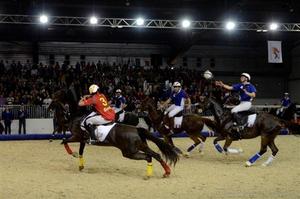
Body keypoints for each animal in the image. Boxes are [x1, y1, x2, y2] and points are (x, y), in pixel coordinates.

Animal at [50, 89, 179, 178]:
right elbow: (80, 151)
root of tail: (136, 129)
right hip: (141, 146)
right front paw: (81, 165)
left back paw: (149, 174)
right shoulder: (82, 140)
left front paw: (73, 153)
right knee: (156, 155)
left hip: (129, 152)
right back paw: (166, 172)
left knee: (149, 157)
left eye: (56, 94)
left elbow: (64, 141)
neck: (76, 116)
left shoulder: (77, 136)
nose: (50, 107)